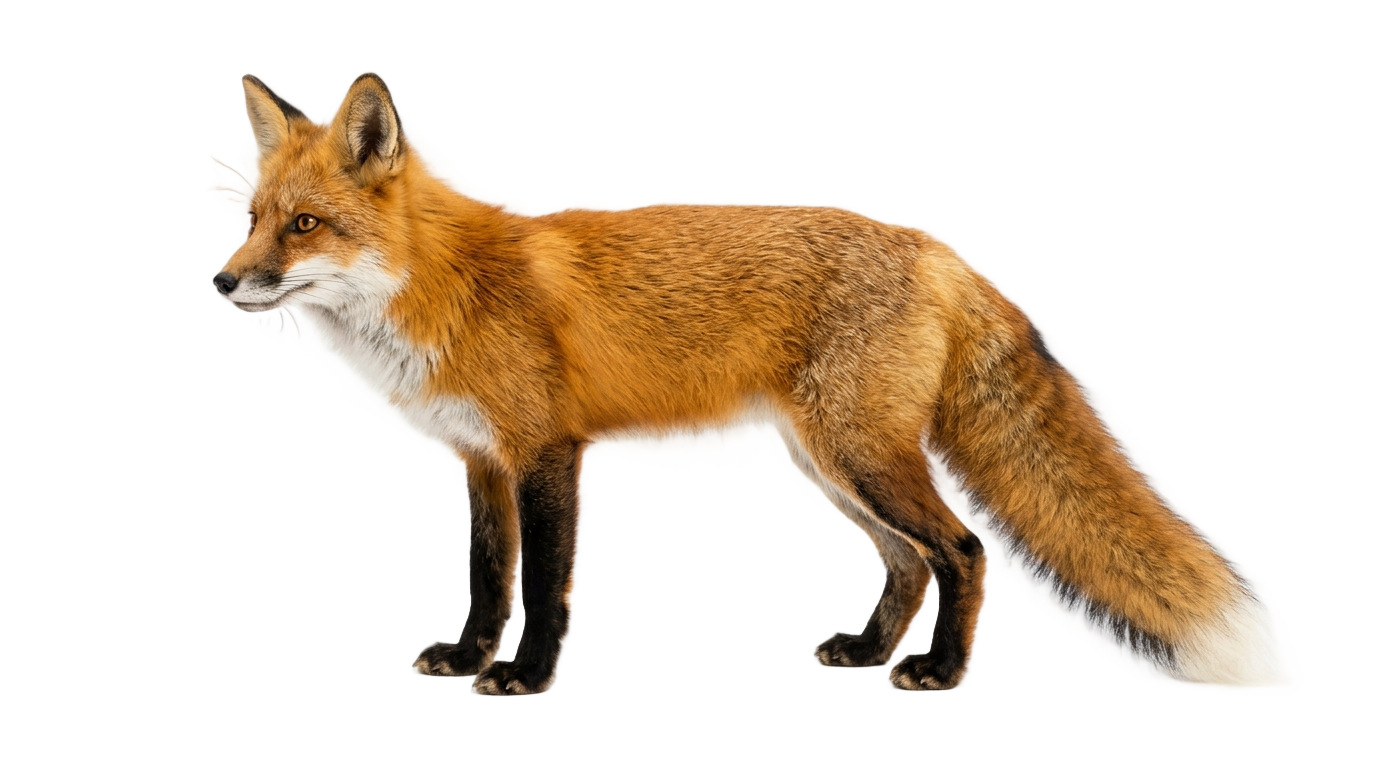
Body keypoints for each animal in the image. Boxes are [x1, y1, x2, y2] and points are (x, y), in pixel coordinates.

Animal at [213, 72, 1272, 695]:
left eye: (304, 226)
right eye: (254, 219)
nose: (222, 283)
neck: (443, 290)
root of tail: (936, 250)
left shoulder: (547, 451)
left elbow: (543, 584)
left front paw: (524, 673)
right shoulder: (478, 460)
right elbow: (483, 577)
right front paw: (470, 656)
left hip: (860, 458)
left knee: (964, 548)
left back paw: (934, 667)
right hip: (832, 465)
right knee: (906, 561)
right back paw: (869, 653)